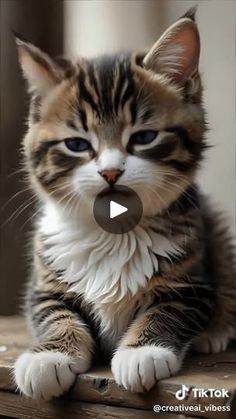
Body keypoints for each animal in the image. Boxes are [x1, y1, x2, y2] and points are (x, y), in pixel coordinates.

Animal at [13, 10, 236, 400]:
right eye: (77, 144)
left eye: (144, 137)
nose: (111, 171)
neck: (113, 231)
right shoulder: (43, 281)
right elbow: (53, 313)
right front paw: (48, 357)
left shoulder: (192, 277)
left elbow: (168, 310)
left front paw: (142, 352)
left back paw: (214, 332)